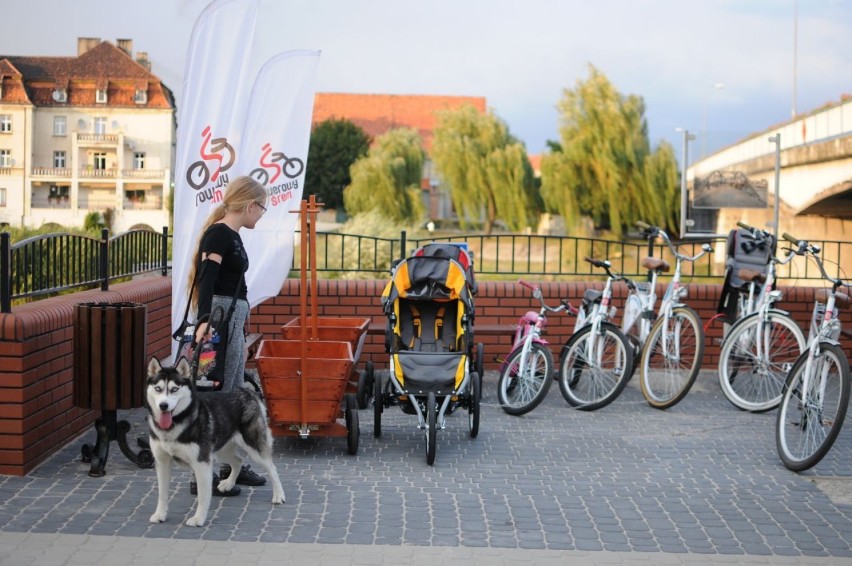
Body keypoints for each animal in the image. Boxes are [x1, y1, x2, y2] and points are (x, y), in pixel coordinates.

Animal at [146, 360, 286, 528]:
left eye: (174, 389)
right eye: (158, 389)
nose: (163, 405)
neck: (174, 426)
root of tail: (246, 391)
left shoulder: (201, 463)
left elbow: (203, 495)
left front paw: (198, 518)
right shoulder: (162, 462)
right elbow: (162, 494)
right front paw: (160, 514)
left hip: (253, 448)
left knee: (272, 468)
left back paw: (279, 495)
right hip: (220, 450)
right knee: (238, 460)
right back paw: (229, 484)